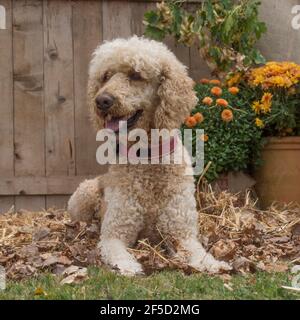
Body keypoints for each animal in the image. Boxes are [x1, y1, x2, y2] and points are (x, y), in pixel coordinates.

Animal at [68, 35, 232, 276]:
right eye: (105, 76)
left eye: (136, 75)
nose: (101, 101)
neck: (147, 157)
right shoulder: (115, 233)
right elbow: (117, 252)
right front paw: (128, 266)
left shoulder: (182, 232)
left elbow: (197, 252)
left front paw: (212, 263)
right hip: (84, 193)